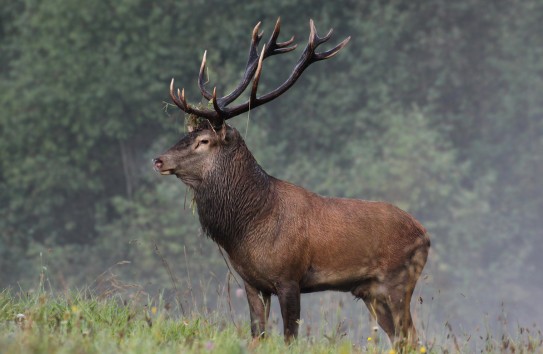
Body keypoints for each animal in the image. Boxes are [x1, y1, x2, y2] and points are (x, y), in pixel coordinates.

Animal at [153, 18, 430, 348]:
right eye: (188, 135)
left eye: (204, 141)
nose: (159, 160)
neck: (247, 227)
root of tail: (426, 235)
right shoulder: (251, 282)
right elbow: (257, 335)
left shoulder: (289, 277)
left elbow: (290, 338)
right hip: (370, 292)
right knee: (401, 340)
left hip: (399, 281)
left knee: (412, 337)